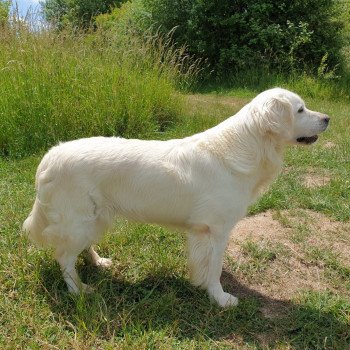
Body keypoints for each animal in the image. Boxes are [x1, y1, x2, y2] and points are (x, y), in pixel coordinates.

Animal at [23, 87, 330, 306]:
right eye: (300, 109)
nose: (328, 118)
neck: (250, 146)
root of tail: (50, 156)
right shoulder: (216, 229)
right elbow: (215, 268)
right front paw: (220, 298)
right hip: (79, 219)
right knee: (64, 258)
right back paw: (79, 290)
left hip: (95, 218)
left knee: (79, 250)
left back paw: (98, 262)